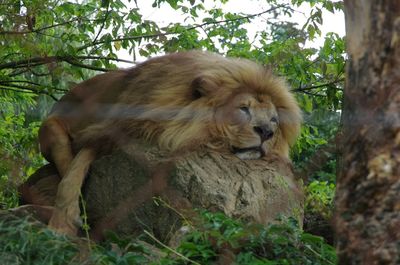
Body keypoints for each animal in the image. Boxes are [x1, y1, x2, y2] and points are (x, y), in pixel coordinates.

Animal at [38, 50, 300, 234]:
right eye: (243, 109)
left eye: (274, 120)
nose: (266, 132)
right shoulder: (107, 133)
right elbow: (72, 176)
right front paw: (61, 225)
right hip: (50, 128)